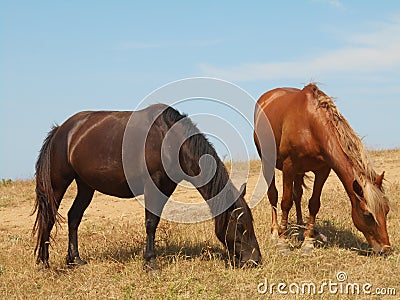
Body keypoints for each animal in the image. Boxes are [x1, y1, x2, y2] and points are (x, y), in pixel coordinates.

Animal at [32, 103, 260, 270]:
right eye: (241, 226)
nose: (255, 260)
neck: (169, 140)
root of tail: (61, 130)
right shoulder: (153, 185)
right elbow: (150, 223)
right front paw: (150, 262)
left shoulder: (166, 187)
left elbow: (155, 221)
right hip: (58, 183)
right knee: (49, 217)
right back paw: (43, 262)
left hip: (86, 186)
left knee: (74, 217)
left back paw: (75, 260)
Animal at [253, 84, 390, 255]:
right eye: (367, 215)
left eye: (387, 210)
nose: (386, 249)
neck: (310, 125)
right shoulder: (288, 167)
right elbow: (285, 202)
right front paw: (283, 240)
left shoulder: (323, 170)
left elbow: (314, 203)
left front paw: (308, 240)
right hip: (268, 162)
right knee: (273, 195)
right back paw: (274, 231)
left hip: (299, 171)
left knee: (298, 194)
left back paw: (300, 224)